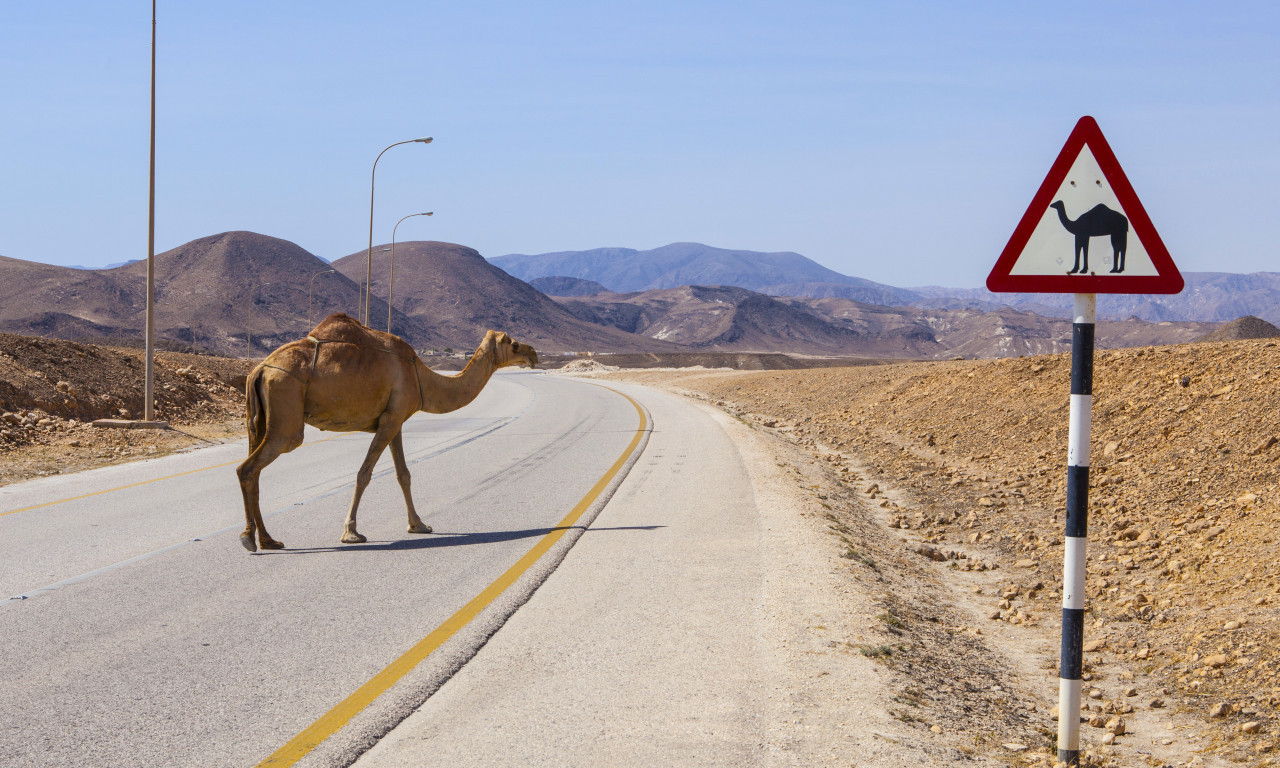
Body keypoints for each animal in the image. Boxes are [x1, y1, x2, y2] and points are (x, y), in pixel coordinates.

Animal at [238, 312, 537, 552]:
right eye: (513, 343)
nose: (533, 354)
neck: (420, 376)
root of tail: (259, 369)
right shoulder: (391, 419)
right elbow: (364, 474)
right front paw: (351, 532)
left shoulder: (396, 420)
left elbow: (403, 474)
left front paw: (419, 525)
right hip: (286, 409)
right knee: (249, 467)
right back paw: (250, 539)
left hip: (258, 420)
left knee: (254, 471)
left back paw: (267, 540)